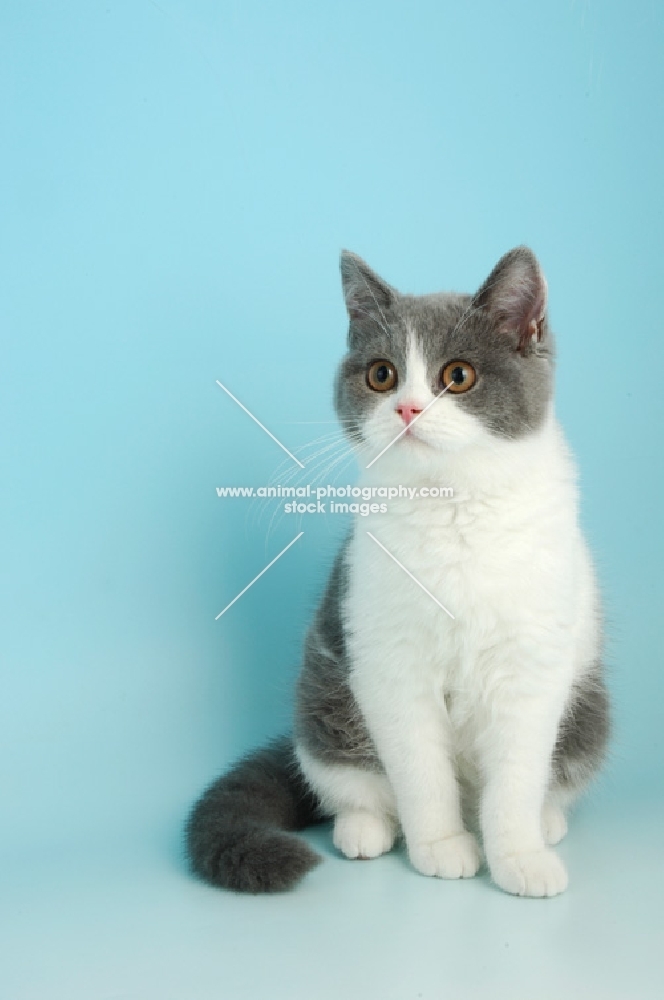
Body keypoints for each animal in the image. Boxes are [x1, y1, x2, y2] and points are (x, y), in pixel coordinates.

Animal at [184, 248, 608, 900]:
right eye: (381, 375)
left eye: (458, 376)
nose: (407, 408)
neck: (450, 505)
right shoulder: (388, 659)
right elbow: (419, 766)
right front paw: (441, 846)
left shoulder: (532, 661)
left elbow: (516, 773)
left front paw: (518, 855)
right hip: (325, 699)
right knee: (347, 782)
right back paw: (365, 829)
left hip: (588, 712)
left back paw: (547, 821)